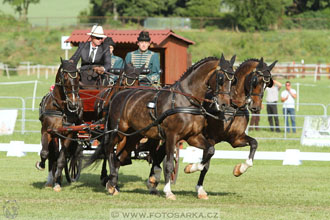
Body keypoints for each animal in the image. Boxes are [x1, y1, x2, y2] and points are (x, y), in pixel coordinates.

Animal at [36, 59, 82, 192]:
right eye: (64, 77)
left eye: (78, 77)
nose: (73, 104)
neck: (59, 108)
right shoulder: (46, 131)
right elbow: (45, 152)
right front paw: (40, 165)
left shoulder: (68, 134)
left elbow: (62, 159)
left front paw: (57, 182)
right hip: (55, 136)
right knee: (53, 154)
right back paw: (50, 180)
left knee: (64, 155)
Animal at [86, 55, 236, 199]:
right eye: (221, 78)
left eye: (233, 80)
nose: (224, 105)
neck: (186, 101)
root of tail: (117, 95)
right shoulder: (171, 136)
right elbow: (169, 164)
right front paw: (168, 192)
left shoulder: (193, 137)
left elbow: (210, 150)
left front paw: (191, 168)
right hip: (118, 132)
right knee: (109, 150)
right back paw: (110, 183)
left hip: (133, 136)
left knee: (119, 157)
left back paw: (113, 184)